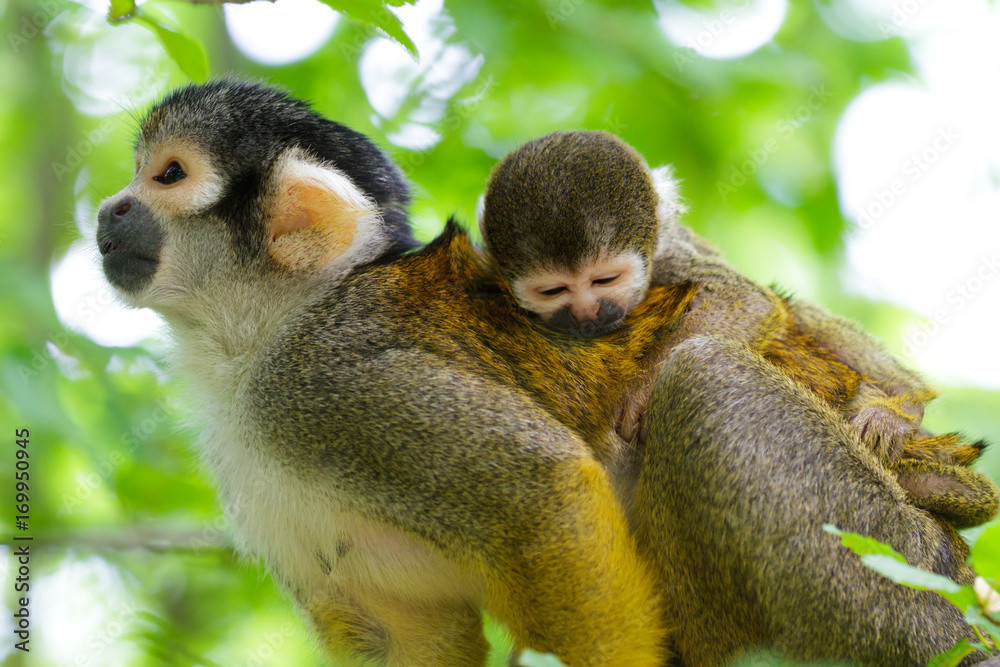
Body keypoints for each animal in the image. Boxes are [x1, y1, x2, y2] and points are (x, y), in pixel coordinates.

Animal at [479, 130, 995, 528]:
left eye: (605, 280)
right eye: (554, 291)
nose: (587, 314)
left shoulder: (667, 253)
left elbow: (745, 300)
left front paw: (638, 395)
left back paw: (903, 403)